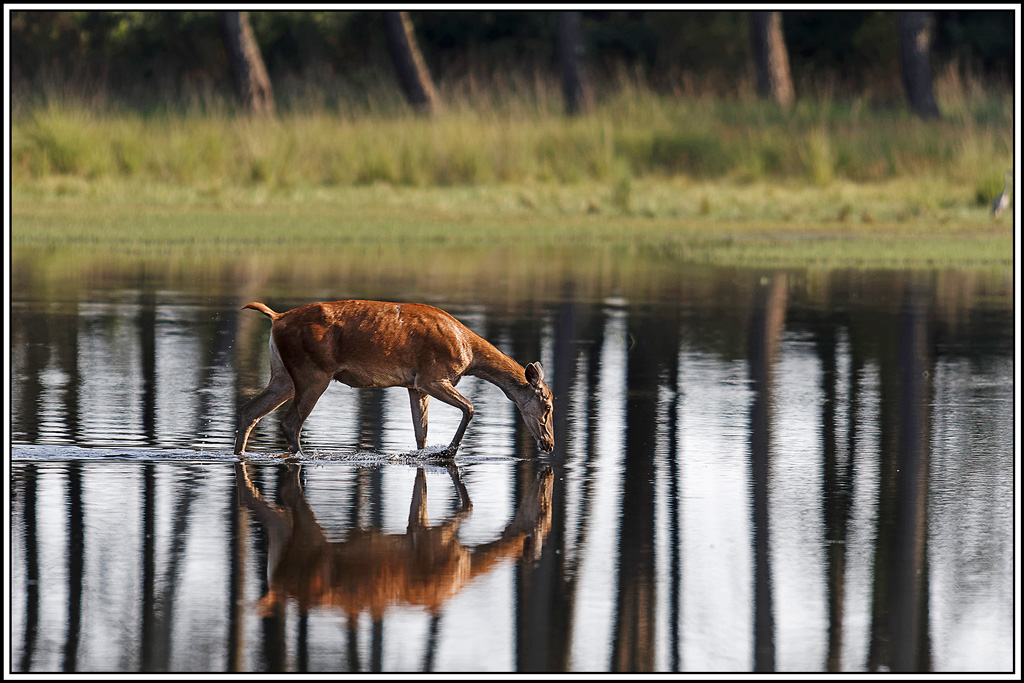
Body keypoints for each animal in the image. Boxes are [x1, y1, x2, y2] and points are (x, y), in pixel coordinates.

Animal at [234, 299, 555, 456]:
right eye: (548, 405)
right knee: (290, 422)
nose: (550, 444)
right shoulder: (432, 376)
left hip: (283, 375)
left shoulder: (415, 386)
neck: (469, 353)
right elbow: (470, 407)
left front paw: (427, 454)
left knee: (249, 410)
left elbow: (421, 433)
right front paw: (448, 452)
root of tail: (276, 318)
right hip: (312, 372)